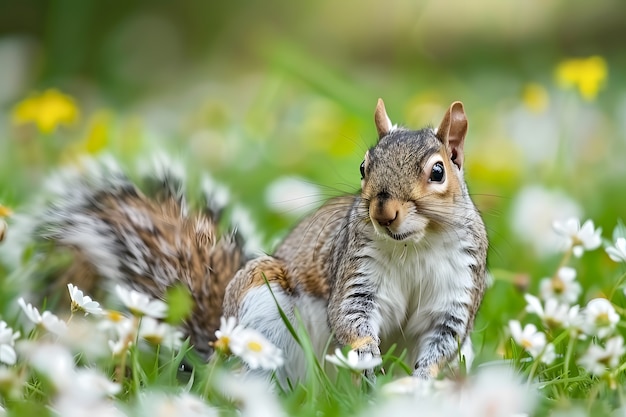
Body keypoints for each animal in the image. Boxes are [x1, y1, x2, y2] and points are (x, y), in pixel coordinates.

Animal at [22, 97, 486, 384]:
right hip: (262, 308)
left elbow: (443, 341)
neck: (414, 244)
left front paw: (421, 383)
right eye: (363, 166)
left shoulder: (457, 291)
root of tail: (216, 345)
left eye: (439, 171)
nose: (383, 212)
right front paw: (366, 357)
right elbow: (349, 316)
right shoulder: (357, 273)